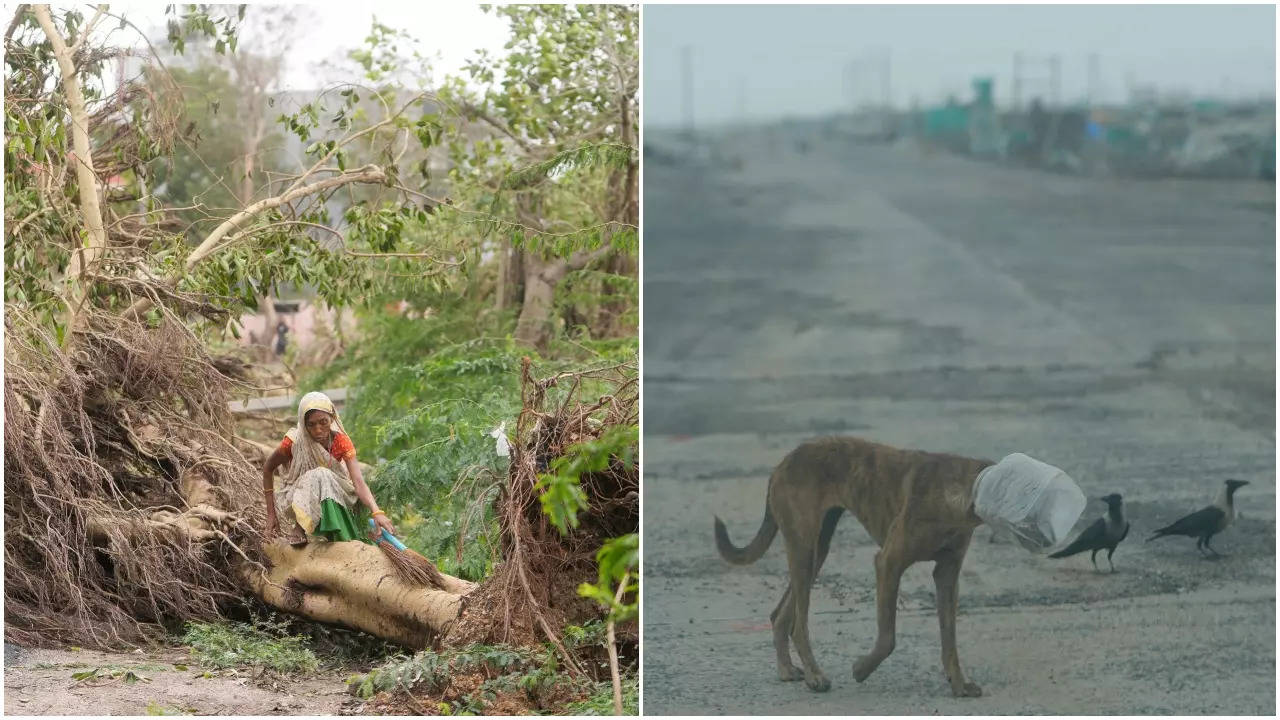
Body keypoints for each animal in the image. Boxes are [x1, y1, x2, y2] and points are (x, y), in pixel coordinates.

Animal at [721, 435, 988, 691]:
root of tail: (782, 464)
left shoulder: (947, 575)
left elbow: (949, 640)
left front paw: (959, 683)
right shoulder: (888, 563)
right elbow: (887, 639)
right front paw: (861, 669)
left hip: (816, 551)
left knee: (780, 615)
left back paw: (787, 669)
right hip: (803, 550)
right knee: (799, 626)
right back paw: (815, 676)